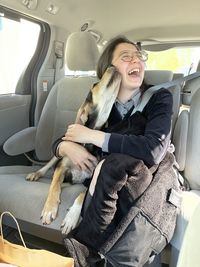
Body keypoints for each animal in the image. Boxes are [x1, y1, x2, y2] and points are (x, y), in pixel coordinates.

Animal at [25, 66, 121, 234]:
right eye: (95, 85)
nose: (112, 66)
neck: (87, 142)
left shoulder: (91, 179)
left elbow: (82, 194)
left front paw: (71, 217)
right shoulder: (62, 167)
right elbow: (54, 186)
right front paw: (49, 209)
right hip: (60, 152)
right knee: (48, 166)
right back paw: (36, 174)